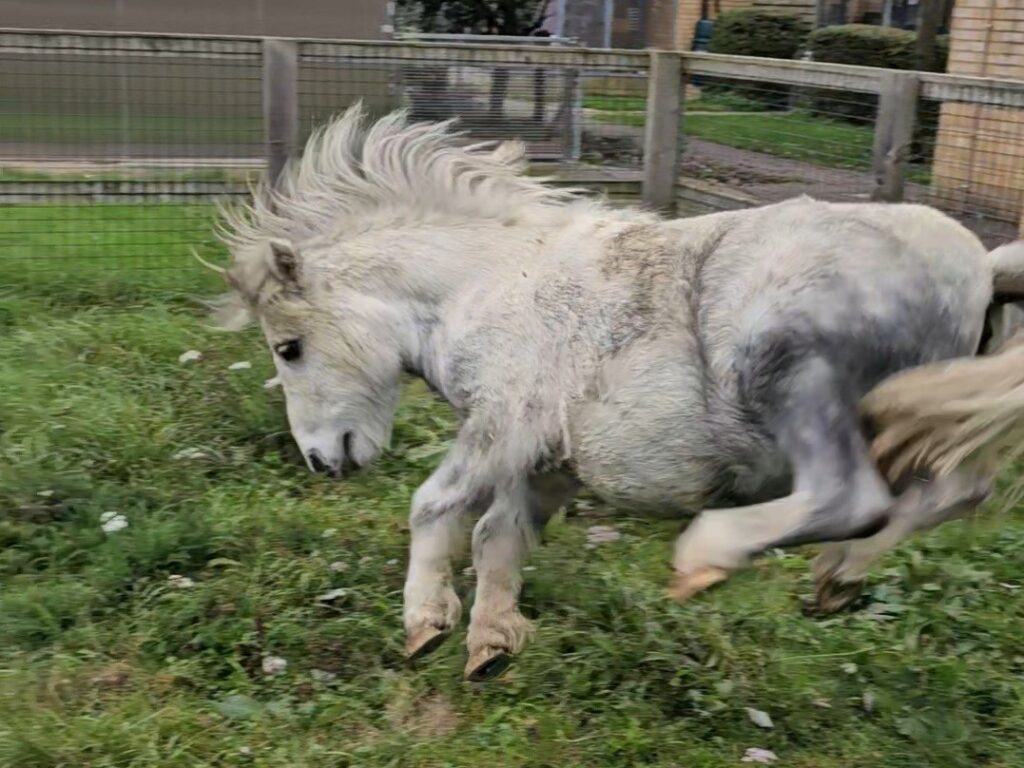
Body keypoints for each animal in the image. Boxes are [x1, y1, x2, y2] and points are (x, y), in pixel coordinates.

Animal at [216, 103, 1024, 679]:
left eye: (289, 348)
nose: (324, 460)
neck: (482, 284)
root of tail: (982, 268)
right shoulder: (547, 459)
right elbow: (497, 535)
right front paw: (490, 643)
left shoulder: (501, 423)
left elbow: (435, 506)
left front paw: (425, 623)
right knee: (948, 494)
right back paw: (838, 578)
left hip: (791, 373)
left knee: (849, 497)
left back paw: (709, 555)